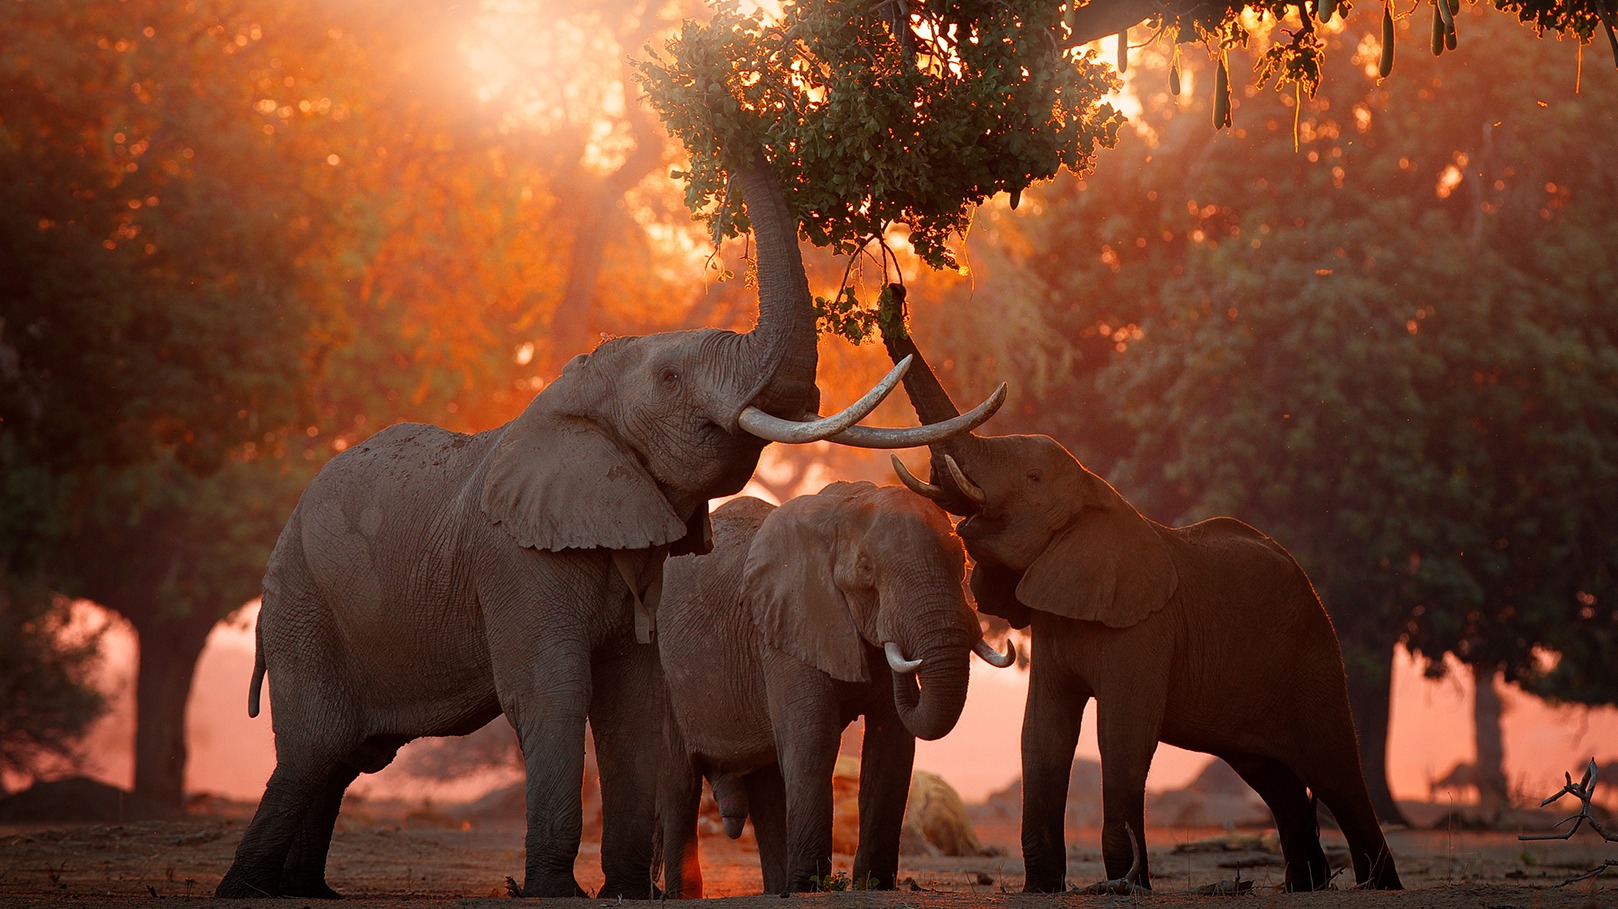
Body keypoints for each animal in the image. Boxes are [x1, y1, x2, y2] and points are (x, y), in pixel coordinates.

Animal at [654, 483, 1014, 897]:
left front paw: (874, 885)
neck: (842, 509)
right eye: (866, 570)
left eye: (962, 562)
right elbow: (814, 740)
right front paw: (812, 887)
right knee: (680, 784)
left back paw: (780, 889)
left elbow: (891, 745)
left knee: (766, 783)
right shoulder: (785, 628)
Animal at [876, 290, 1401, 893]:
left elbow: (1122, 734)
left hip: (1315, 656)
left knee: (1336, 773)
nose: (894, 296)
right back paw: (1306, 885)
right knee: (1274, 777)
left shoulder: (1145, 629)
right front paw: (1044, 888)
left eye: (1033, 478)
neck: (1096, 490)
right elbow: (1042, 733)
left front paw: (1129, 886)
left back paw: (1380, 884)